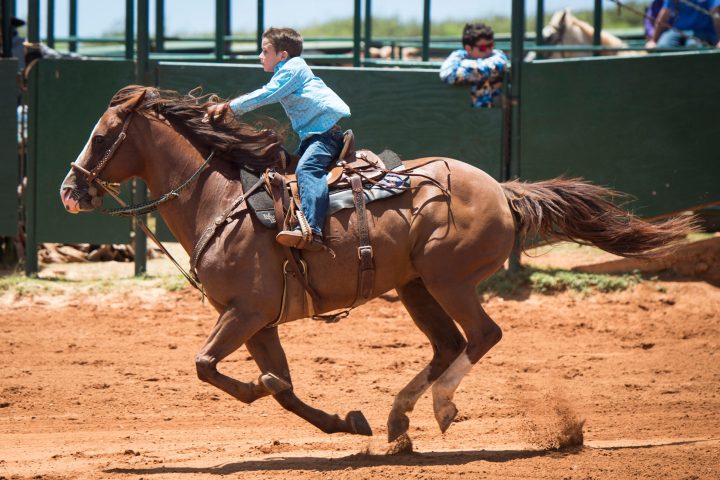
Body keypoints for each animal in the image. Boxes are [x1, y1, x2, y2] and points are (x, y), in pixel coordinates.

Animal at [60, 85, 693, 443]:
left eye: (102, 136)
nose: (70, 190)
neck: (221, 202)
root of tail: (502, 190)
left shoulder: (245, 313)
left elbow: (210, 368)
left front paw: (263, 389)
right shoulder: (259, 322)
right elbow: (281, 388)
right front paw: (344, 421)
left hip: (447, 279)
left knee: (482, 335)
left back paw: (438, 407)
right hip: (416, 288)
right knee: (448, 344)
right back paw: (397, 420)